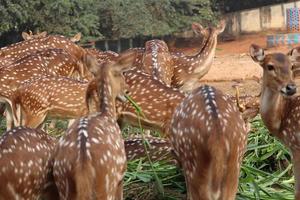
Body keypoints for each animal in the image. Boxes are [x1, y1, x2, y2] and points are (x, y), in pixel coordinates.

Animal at [52, 59, 130, 200]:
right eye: (121, 74)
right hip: (107, 183)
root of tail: (83, 162)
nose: (127, 91)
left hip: (62, 180)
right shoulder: (121, 175)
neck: (106, 113)